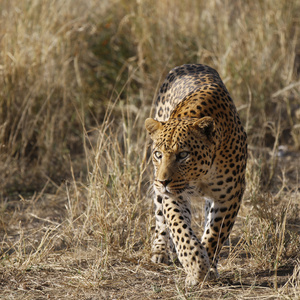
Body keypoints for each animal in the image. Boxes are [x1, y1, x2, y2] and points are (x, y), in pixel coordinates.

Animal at [144, 63, 247, 286]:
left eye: (183, 155)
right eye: (158, 154)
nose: (163, 181)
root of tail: (189, 64)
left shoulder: (230, 194)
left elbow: (215, 232)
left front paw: (206, 268)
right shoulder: (174, 195)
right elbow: (179, 228)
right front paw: (196, 265)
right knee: (160, 219)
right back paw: (160, 251)